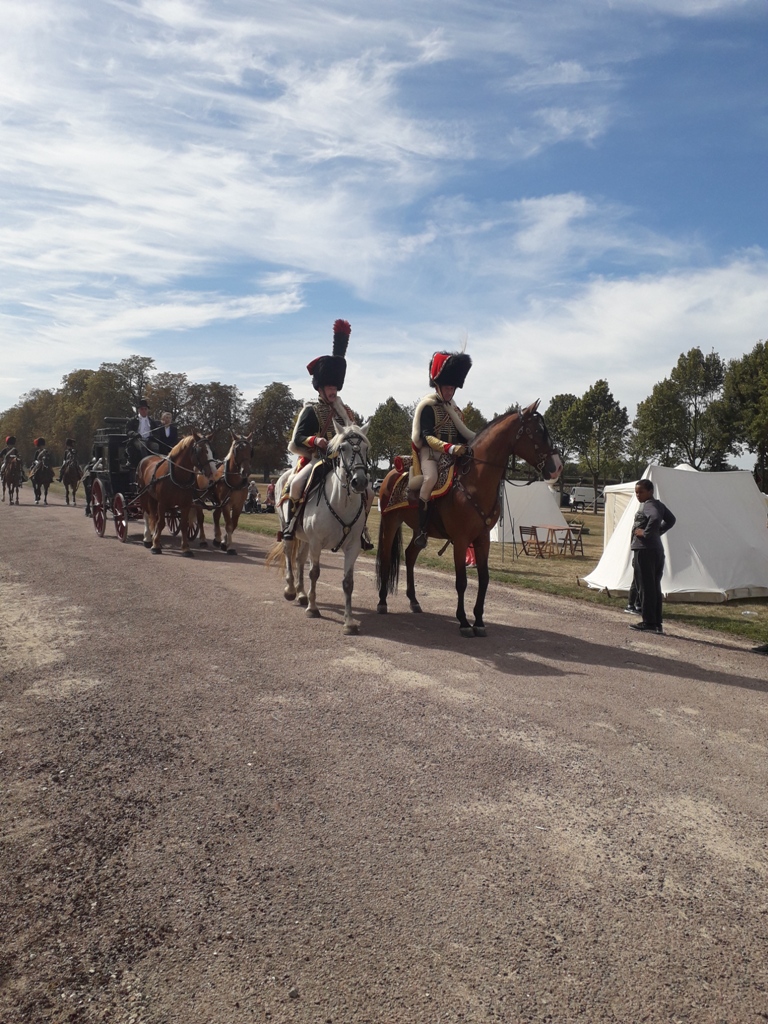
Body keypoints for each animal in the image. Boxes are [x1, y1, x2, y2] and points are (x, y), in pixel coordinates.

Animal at [270, 421, 372, 630]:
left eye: (366, 448)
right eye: (343, 448)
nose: (359, 482)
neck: (342, 502)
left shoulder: (353, 546)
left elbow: (348, 582)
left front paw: (349, 621)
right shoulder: (317, 542)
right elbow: (314, 573)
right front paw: (313, 608)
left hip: (305, 539)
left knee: (299, 560)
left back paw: (301, 593)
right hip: (288, 529)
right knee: (289, 553)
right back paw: (291, 590)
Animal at [376, 401, 561, 634]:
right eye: (537, 432)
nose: (557, 467)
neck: (475, 479)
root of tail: (391, 473)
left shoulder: (482, 539)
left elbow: (484, 579)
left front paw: (479, 621)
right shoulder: (462, 540)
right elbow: (461, 582)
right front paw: (463, 621)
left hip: (420, 531)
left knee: (410, 555)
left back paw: (414, 601)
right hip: (390, 522)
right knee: (386, 557)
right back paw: (382, 601)